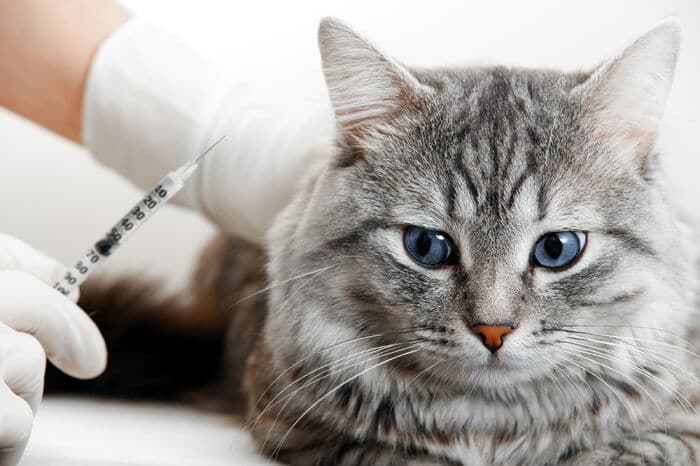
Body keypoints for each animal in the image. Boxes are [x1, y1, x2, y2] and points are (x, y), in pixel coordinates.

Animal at [45, 16, 700, 464]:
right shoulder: (298, 427)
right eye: (427, 247)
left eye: (557, 250)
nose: (492, 331)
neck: (489, 428)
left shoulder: (677, 429)